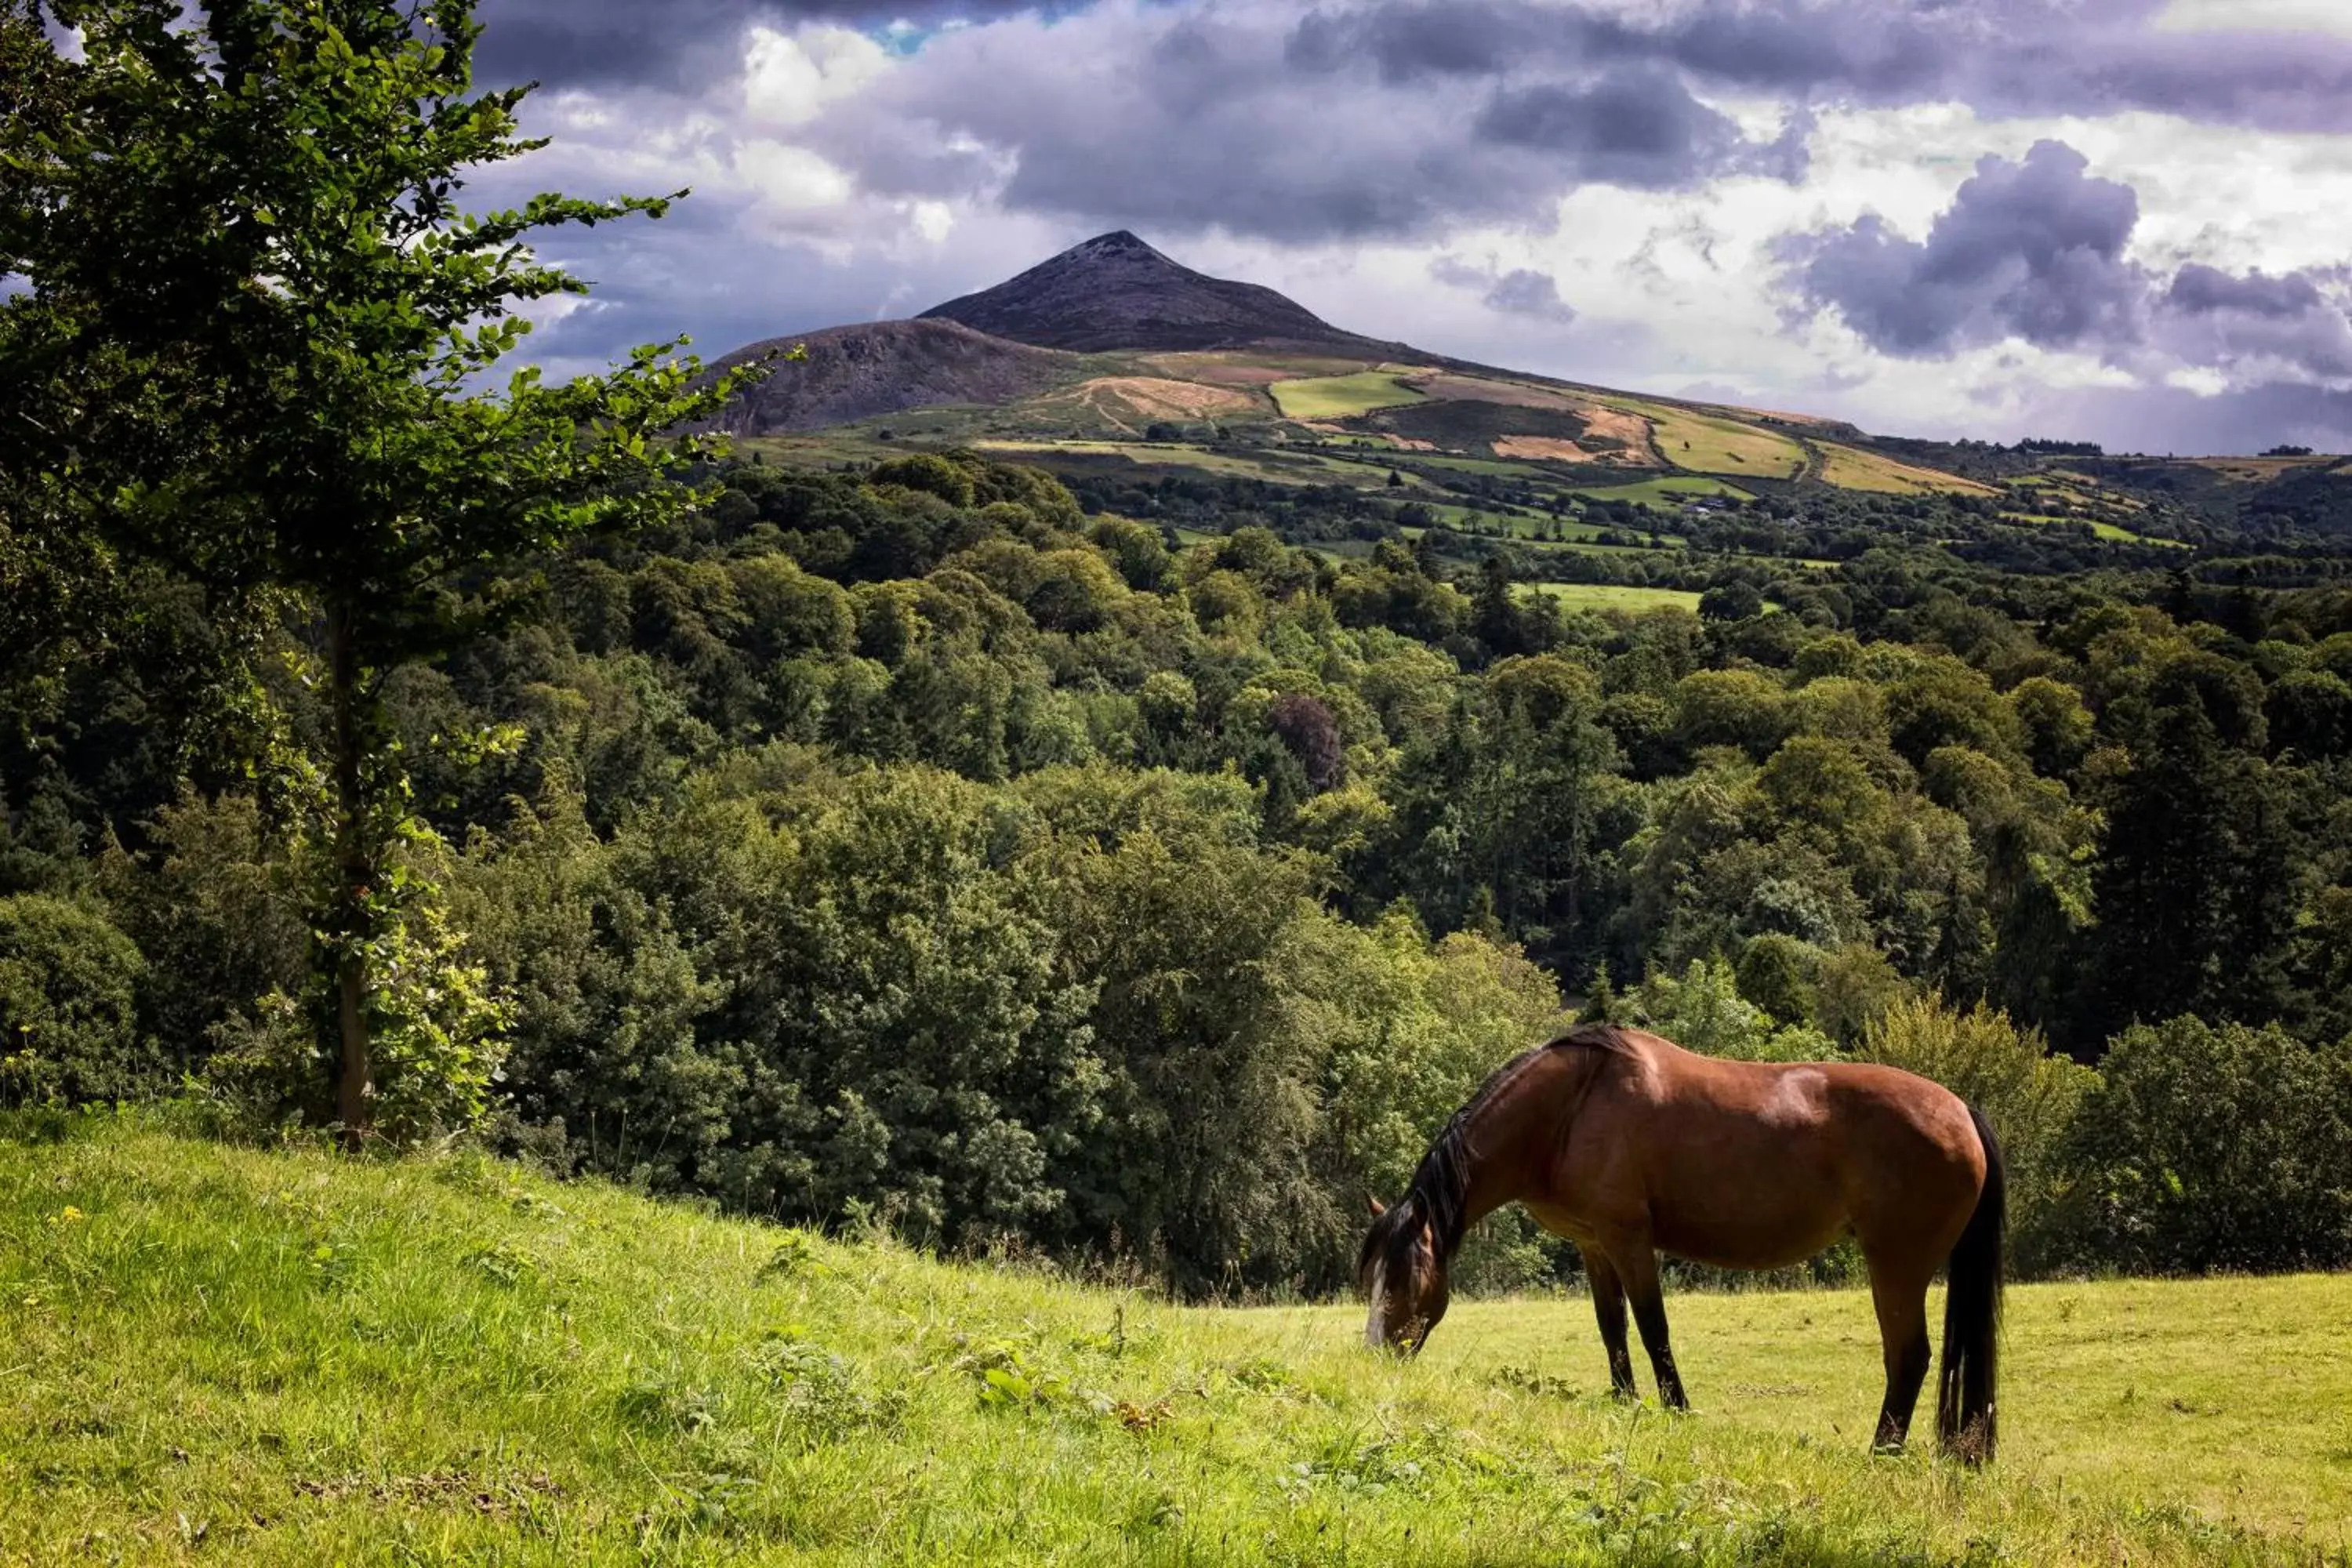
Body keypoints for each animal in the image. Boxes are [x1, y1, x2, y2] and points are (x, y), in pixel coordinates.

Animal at [1364, 1025, 2004, 1467]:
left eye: (1405, 1278)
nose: (1375, 1357)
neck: (1571, 1106)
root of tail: (1961, 1111)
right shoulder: (1595, 1245)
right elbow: (1612, 1327)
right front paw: (1623, 1401)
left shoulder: (1629, 1239)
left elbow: (1653, 1327)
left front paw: (1676, 1410)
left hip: (1896, 1266)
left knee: (1909, 1356)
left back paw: (1881, 1454)